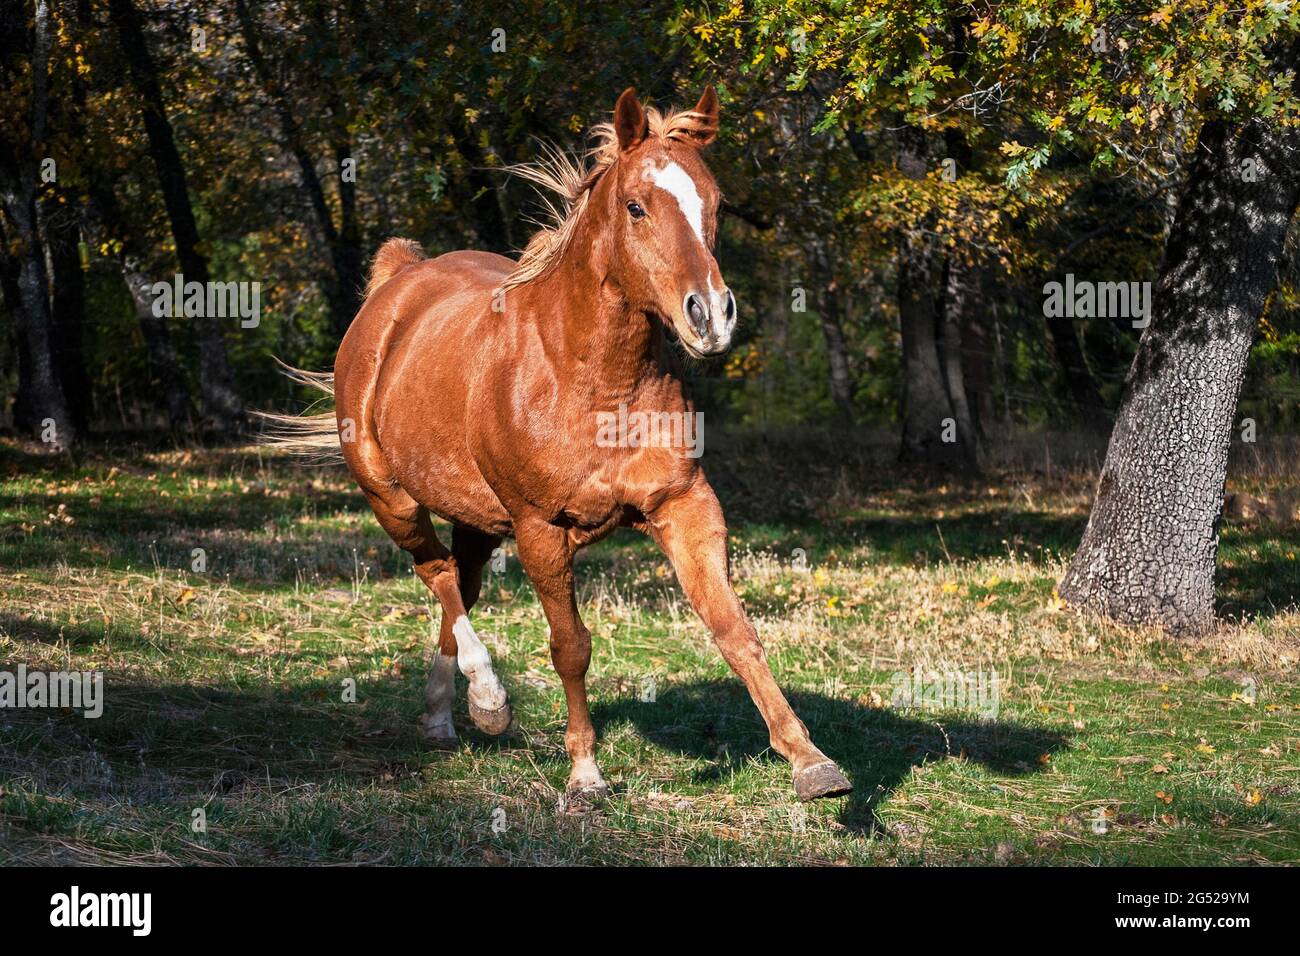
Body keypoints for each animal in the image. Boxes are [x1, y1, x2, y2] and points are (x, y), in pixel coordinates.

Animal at [263, 87, 851, 803]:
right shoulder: (541, 528)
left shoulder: (684, 505)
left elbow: (734, 629)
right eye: (636, 206)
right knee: (438, 577)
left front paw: (810, 761)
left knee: (459, 585)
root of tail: (398, 284)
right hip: (392, 498)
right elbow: (570, 646)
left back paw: (442, 720)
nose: (710, 317)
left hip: (476, 517)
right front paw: (585, 772)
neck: (589, 378)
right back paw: (489, 701)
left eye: (714, 204)